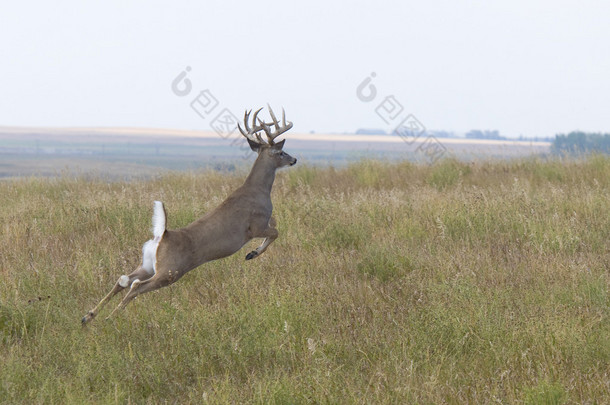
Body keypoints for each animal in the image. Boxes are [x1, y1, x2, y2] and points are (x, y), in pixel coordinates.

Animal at [81, 105, 296, 326]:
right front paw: (252, 253)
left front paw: (252, 253)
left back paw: (88, 316)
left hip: (148, 265)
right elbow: (276, 231)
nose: (294, 159)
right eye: (281, 152)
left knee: (123, 280)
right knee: (135, 286)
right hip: (170, 271)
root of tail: (162, 235)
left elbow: (276, 225)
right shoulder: (256, 225)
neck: (258, 190)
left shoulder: (263, 222)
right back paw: (109, 318)